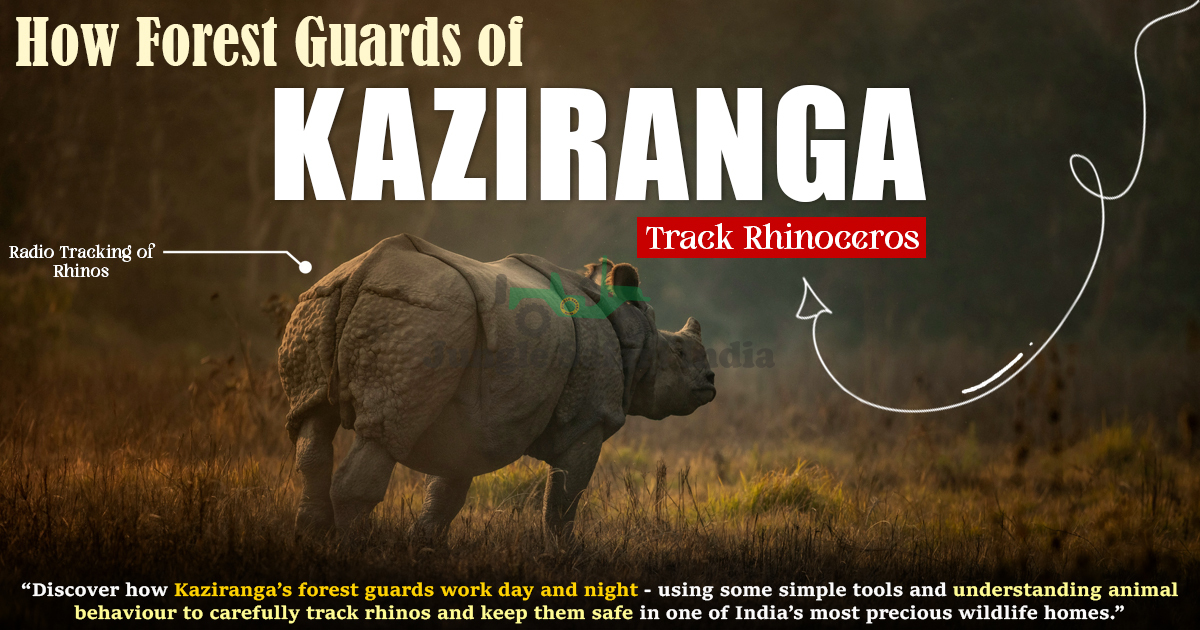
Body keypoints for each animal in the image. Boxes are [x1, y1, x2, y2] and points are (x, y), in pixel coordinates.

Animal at [278, 234, 715, 551]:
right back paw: (354, 549)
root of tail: (363, 271)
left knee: (313, 424)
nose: (710, 382)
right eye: (678, 351)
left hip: (324, 302)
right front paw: (567, 554)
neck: (633, 332)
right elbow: (565, 496)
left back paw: (312, 542)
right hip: (420, 318)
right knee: (384, 433)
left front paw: (425, 547)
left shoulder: (471, 419)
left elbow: (448, 488)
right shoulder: (588, 420)